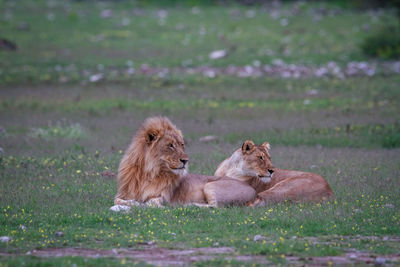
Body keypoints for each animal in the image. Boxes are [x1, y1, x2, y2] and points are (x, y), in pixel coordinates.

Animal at [112, 116, 256, 208]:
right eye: (170, 145)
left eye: (182, 144)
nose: (186, 161)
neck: (149, 172)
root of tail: (254, 190)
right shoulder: (123, 193)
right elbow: (117, 200)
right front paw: (133, 202)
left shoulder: (163, 196)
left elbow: (152, 202)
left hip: (210, 186)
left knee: (215, 206)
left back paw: (188, 205)